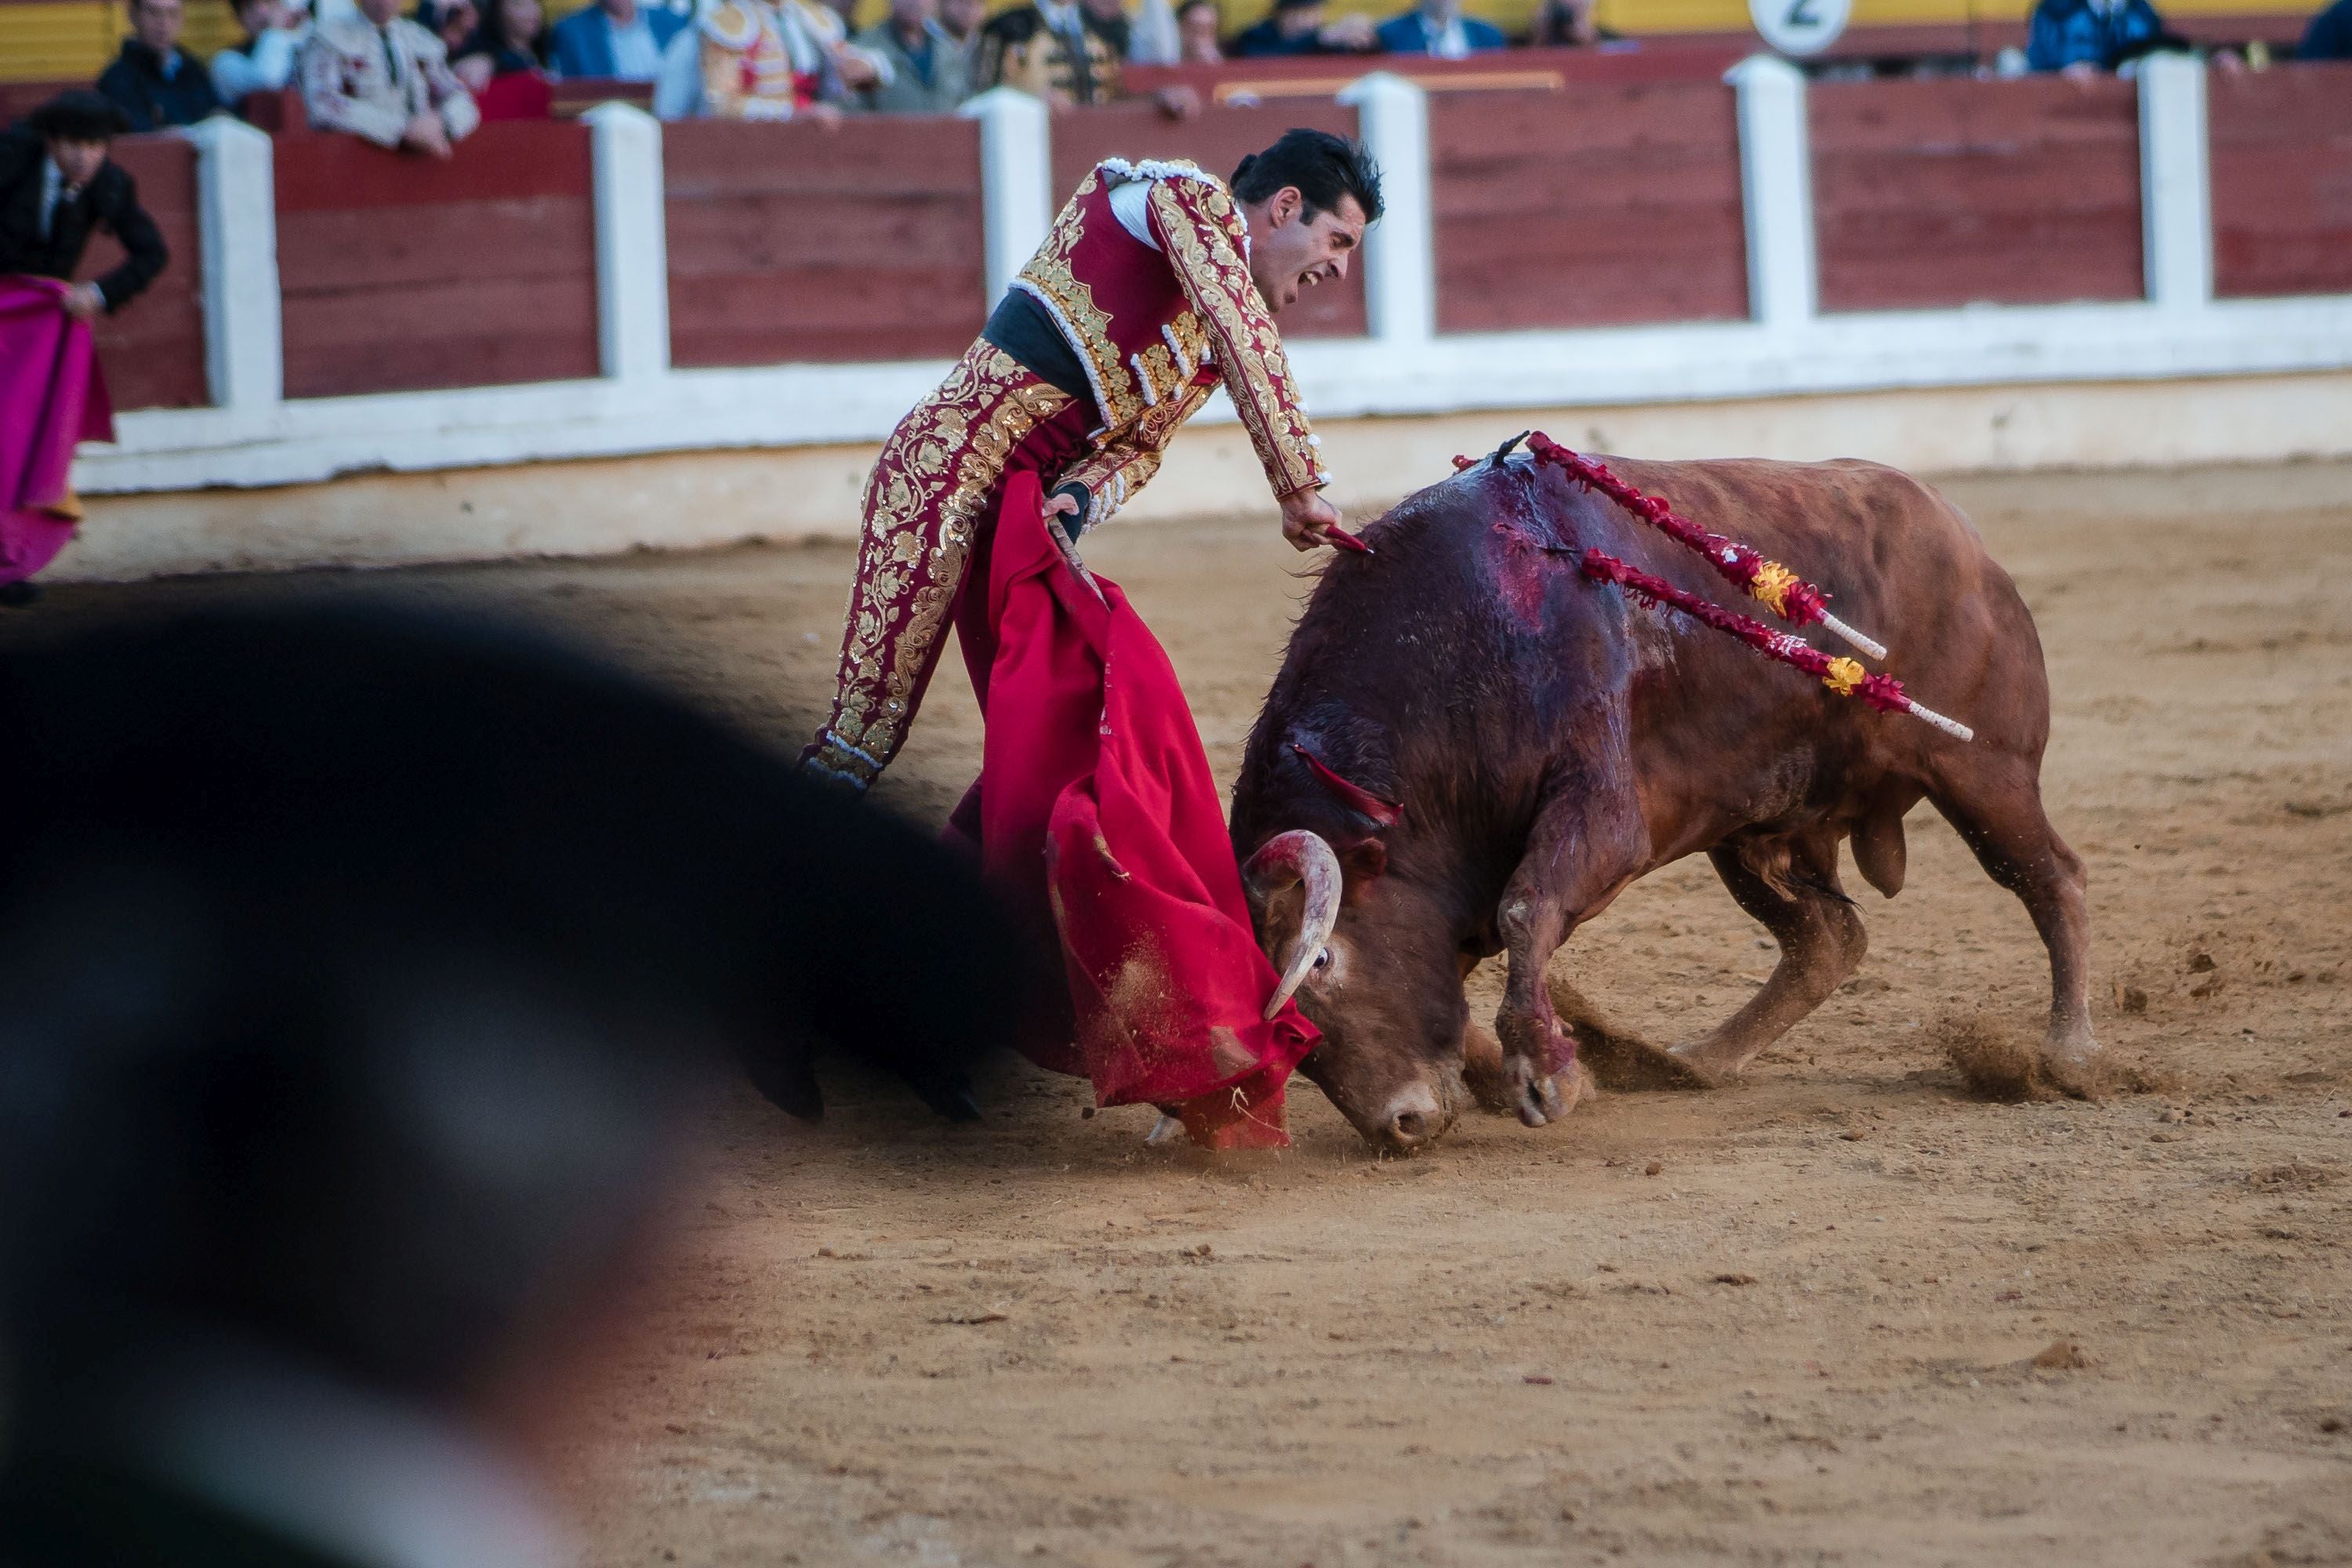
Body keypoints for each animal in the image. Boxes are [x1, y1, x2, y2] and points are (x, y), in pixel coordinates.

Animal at [1232, 441, 2098, 1152]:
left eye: (1322, 962)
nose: (1401, 1124)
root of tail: (1960, 533)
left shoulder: (1602, 813)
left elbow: (1526, 908)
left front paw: (1544, 1076)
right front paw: (1539, 1066)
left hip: (1985, 772)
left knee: (2050, 878)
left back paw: (2069, 1053)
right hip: (1753, 825)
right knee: (1828, 940)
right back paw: (1696, 1061)